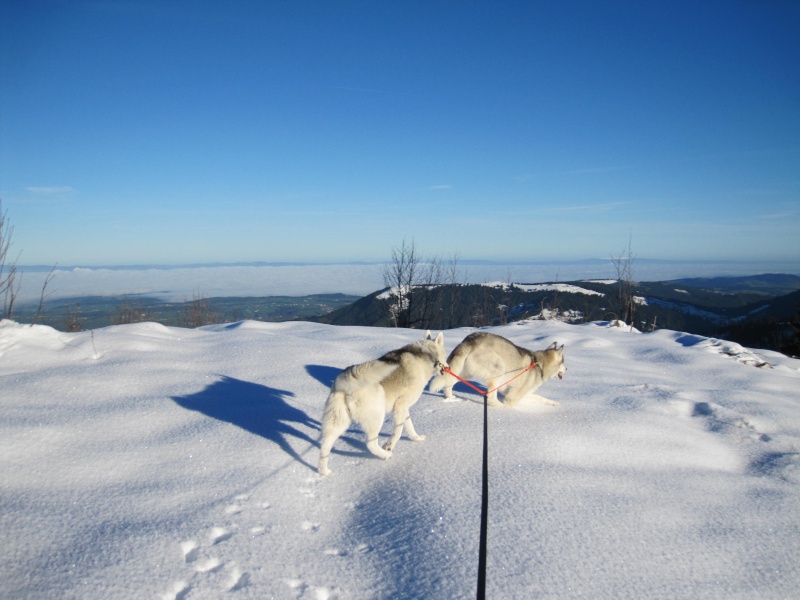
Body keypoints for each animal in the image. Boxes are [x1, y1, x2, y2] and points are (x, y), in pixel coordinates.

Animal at [316, 330, 446, 476]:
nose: (447, 367)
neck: (426, 355)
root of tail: (343, 381)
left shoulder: (404, 409)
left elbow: (409, 427)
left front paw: (416, 438)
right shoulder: (401, 406)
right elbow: (398, 432)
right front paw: (389, 446)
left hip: (338, 424)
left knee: (324, 448)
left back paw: (324, 472)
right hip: (377, 418)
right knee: (371, 444)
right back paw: (386, 455)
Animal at [428, 330, 564, 410]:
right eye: (564, 362)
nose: (567, 368)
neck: (539, 364)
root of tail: (471, 339)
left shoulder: (523, 394)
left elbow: (541, 398)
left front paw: (553, 403)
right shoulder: (512, 397)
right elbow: (512, 403)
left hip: (463, 373)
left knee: (448, 383)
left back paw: (450, 398)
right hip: (498, 370)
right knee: (491, 398)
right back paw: (500, 407)